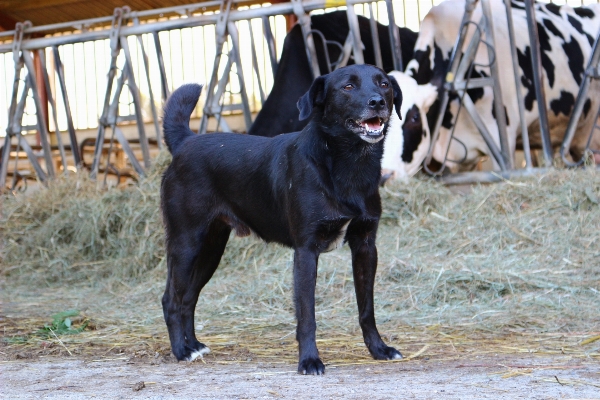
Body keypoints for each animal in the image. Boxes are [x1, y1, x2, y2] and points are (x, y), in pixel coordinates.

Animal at [161, 63, 404, 376]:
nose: (378, 102)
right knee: (171, 299)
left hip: (211, 248)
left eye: (384, 83)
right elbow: (307, 316)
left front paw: (379, 349)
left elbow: (367, 309)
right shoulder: (306, 251)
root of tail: (185, 142)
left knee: (189, 298)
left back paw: (193, 346)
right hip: (186, 243)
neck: (348, 164)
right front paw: (309, 361)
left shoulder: (365, 246)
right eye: (348, 87)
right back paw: (181, 351)